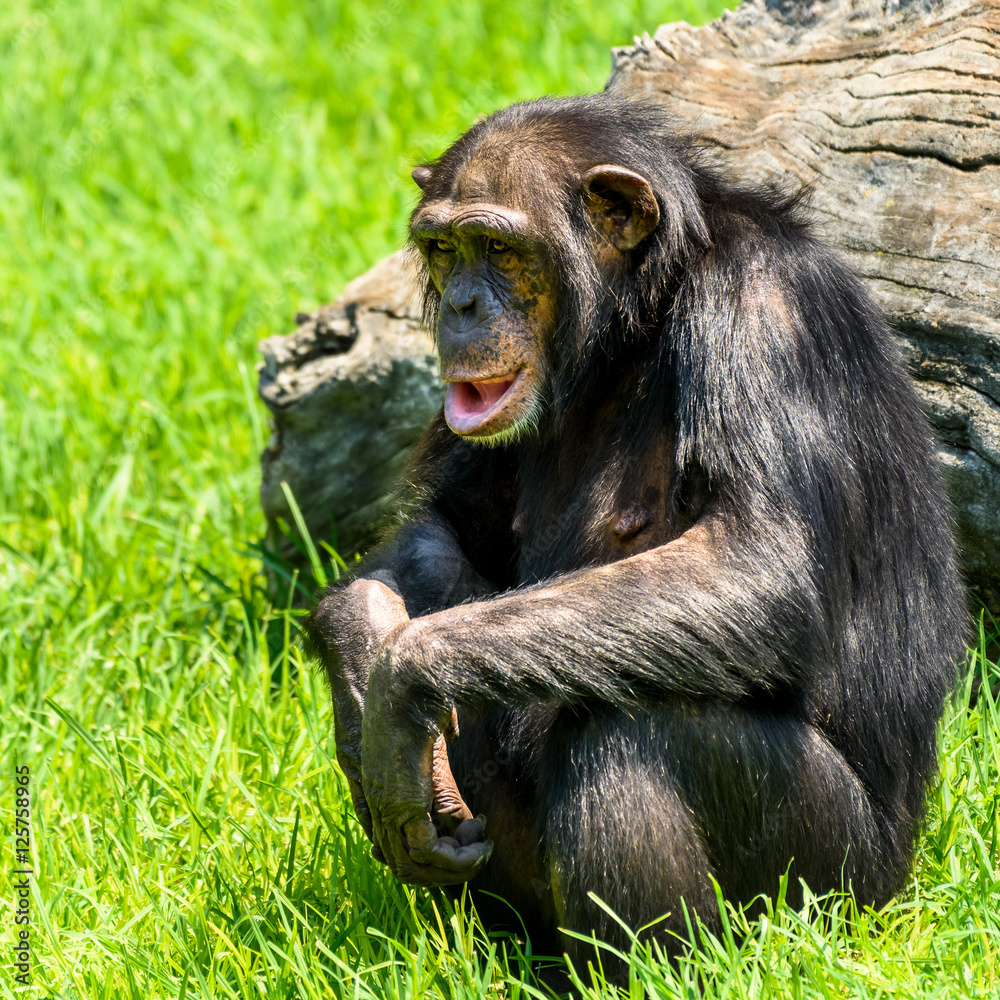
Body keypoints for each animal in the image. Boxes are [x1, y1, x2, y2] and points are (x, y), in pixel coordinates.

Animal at [306, 94, 968, 960]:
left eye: (499, 248)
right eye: (445, 249)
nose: (461, 306)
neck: (637, 321)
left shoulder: (763, 314)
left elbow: (757, 566)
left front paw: (400, 680)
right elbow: (447, 526)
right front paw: (360, 653)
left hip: (837, 890)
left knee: (629, 729)